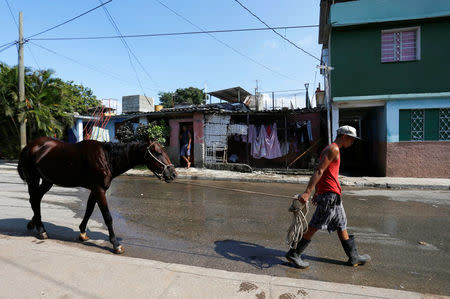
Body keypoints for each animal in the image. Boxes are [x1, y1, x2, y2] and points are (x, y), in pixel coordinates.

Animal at [17, 137, 176, 254]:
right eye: (157, 152)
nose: (173, 173)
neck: (106, 158)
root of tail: (29, 146)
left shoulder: (95, 190)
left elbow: (88, 210)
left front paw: (82, 232)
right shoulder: (99, 190)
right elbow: (107, 217)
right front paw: (115, 244)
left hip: (47, 180)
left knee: (36, 199)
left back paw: (35, 224)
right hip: (33, 179)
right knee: (34, 199)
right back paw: (41, 230)